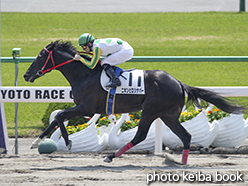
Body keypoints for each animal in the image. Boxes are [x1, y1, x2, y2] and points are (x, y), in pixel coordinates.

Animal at [23, 40, 244, 164]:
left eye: (41, 56)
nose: (26, 75)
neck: (84, 74)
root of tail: (179, 83)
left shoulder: (86, 108)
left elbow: (60, 116)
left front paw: (68, 143)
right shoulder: (82, 107)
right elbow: (56, 119)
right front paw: (36, 141)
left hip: (150, 111)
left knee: (141, 135)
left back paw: (111, 156)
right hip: (169, 115)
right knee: (186, 136)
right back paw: (182, 162)